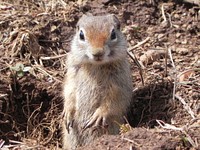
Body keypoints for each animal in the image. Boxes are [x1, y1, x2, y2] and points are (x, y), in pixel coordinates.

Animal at [61, 13, 132, 149]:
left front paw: (99, 115)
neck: (96, 65)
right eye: (81, 35)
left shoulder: (120, 80)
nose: (97, 53)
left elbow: (114, 99)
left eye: (113, 34)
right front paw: (67, 112)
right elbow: (69, 91)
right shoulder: (72, 72)